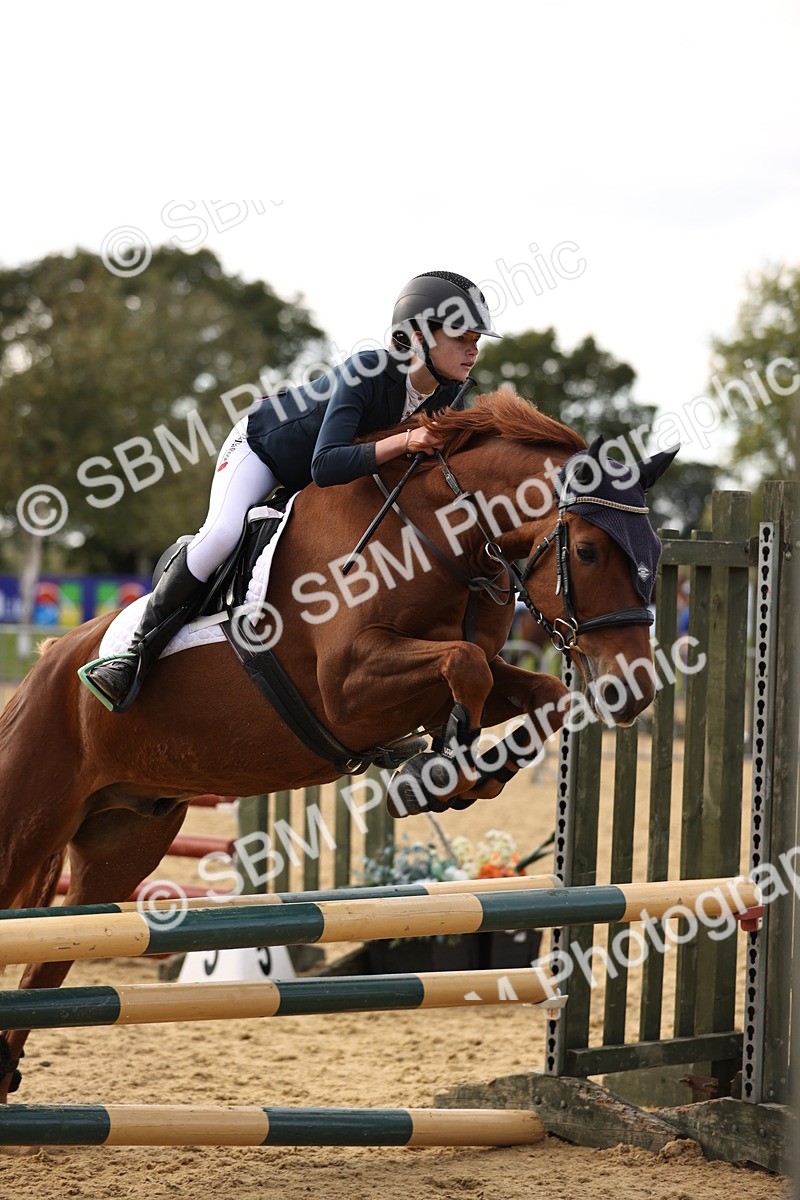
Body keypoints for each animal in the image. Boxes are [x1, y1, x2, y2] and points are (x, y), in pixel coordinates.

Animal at [0, 390, 675, 1099]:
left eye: (658, 550)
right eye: (591, 551)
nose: (633, 689)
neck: (436, 536)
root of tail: (49, 660)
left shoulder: (449, 676)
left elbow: (531, 688)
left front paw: (463, 773)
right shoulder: (348, 688)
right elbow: (465, 664)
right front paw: (439, 770)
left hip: (120, 844)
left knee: (50, 959)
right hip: (27, 820)